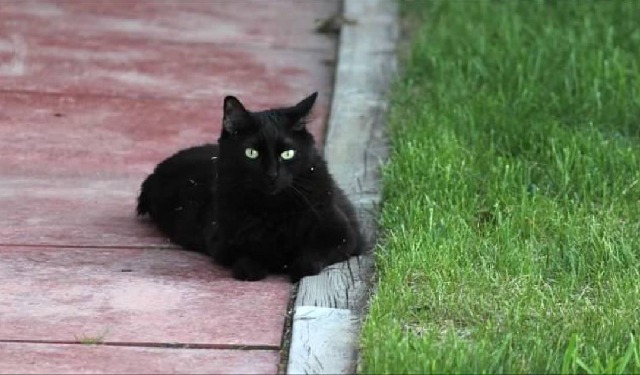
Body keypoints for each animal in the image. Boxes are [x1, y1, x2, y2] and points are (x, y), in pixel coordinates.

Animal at [137, 93, 362, 282]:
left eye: (287, 153)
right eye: (252, 153)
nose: (272, 175)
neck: (273, 211)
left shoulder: (344, 236)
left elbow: (310, 260)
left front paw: (294, 265)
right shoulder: (222, 242)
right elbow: (247, 259)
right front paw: (257, 266)